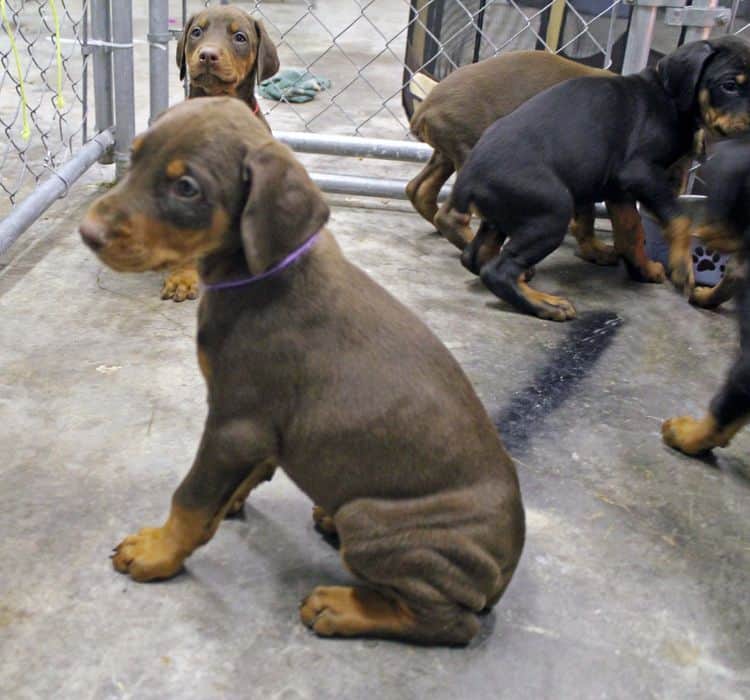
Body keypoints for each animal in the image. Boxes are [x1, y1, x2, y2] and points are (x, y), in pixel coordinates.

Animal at [76, 98, 524, 644]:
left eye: (186, 187)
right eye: (135, 155)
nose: (87, 232)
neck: (259, 273)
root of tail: (505, 572)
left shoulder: (235, 420)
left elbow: (191, 497)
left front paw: (158, 552)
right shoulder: (256, 431)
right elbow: (244, 477)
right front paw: (229, 504)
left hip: (375, 520)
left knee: (450, 622)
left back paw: (342, 607)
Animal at [450, 37, 750, 322]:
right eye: (729, 85)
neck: (669, 98)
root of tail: (466, 181)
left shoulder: (619, 190)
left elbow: (632, 232)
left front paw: (644, 270)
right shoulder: (638, 171)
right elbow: (679, 218)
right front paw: (681, 267)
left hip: (502, 217)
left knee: (474, 257)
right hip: (552, 212)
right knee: (497, 271)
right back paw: (547, 304)